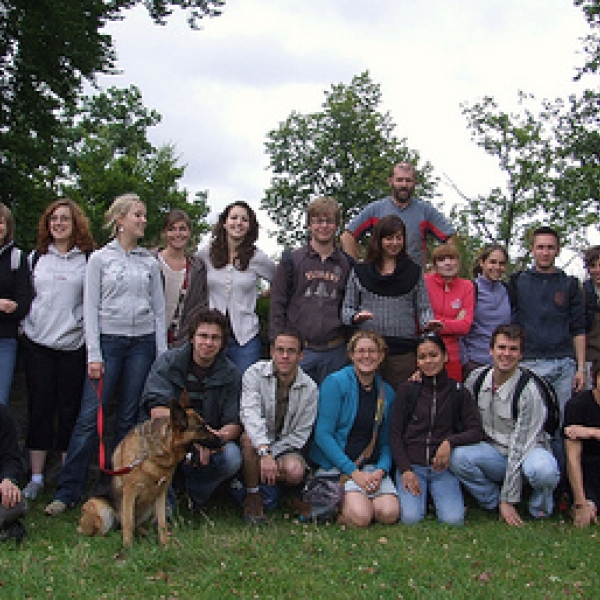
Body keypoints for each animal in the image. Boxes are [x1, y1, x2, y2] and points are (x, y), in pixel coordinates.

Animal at [78, 398, 221, 548]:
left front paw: (165, 544)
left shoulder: (161, 493)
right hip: (99, 507)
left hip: (148, 506)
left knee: (135, 525)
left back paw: (147, 533)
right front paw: (128, 547)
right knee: (103, 531)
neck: (153, 454)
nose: (222, 440)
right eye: (202, 427)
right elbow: (128, 522)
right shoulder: (129, 492)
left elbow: (162, 523)